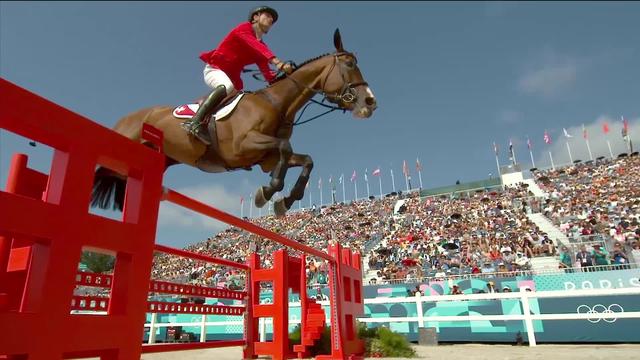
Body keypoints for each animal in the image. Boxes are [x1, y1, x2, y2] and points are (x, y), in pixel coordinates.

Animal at [92, 28, 378, 217]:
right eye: (349, 64)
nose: (370, 102)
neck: (277, 104)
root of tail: (127, 117)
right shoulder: (243, 146)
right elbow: (284, 148)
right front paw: (268, 191)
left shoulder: (266, 159)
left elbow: (305, 160)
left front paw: (284, 200)